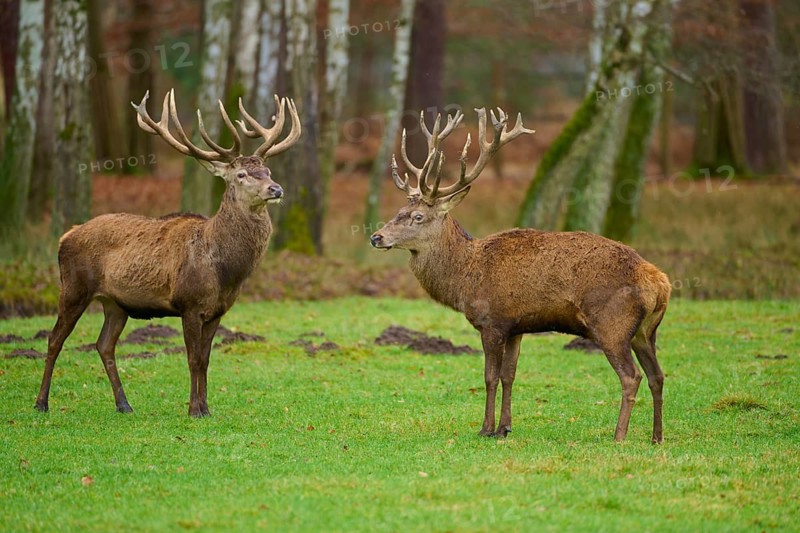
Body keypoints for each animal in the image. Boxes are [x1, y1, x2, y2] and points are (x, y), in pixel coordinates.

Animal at [34, 89, 301, 417]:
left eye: (267, 170)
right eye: (241, 174)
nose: (276, 189)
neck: (224, 269)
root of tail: (65, 237)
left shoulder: (218, 311)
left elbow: (206, 360)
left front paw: (206, 408)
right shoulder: (189, 304)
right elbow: (193, 359)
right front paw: (194, 409)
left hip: (116, 303)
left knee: (104, 344)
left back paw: (124, 404)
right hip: (73, 288)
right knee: (54, 339)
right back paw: (41, 402)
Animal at [370, 108, 671, 443]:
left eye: (418, 216)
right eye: (398, 211)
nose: (376, 237)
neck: (465, 277)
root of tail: (659, 281)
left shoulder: (492, 322)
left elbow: (489, 376)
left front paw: (485, 428)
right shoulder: (516, 326)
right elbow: (509, 375)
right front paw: (505, 427)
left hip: (612, 325)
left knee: (632, 377)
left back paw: (619, 436)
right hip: (646, 331)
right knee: (658, 375)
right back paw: (656, 437)